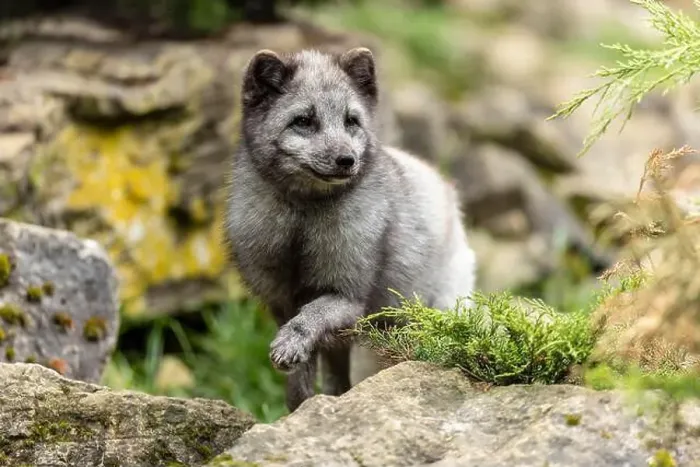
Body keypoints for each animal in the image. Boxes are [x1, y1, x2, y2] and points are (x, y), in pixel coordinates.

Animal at [225, 47, 477, 413]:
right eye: (303, 121)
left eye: (351, 121)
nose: (347, 160)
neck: (303, 220)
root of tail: (443, 184)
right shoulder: (281, 302)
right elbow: (298, 380)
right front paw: (299, 407)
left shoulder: (347, 296)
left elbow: (309, 318)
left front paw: (290, 347)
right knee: (338, 379)